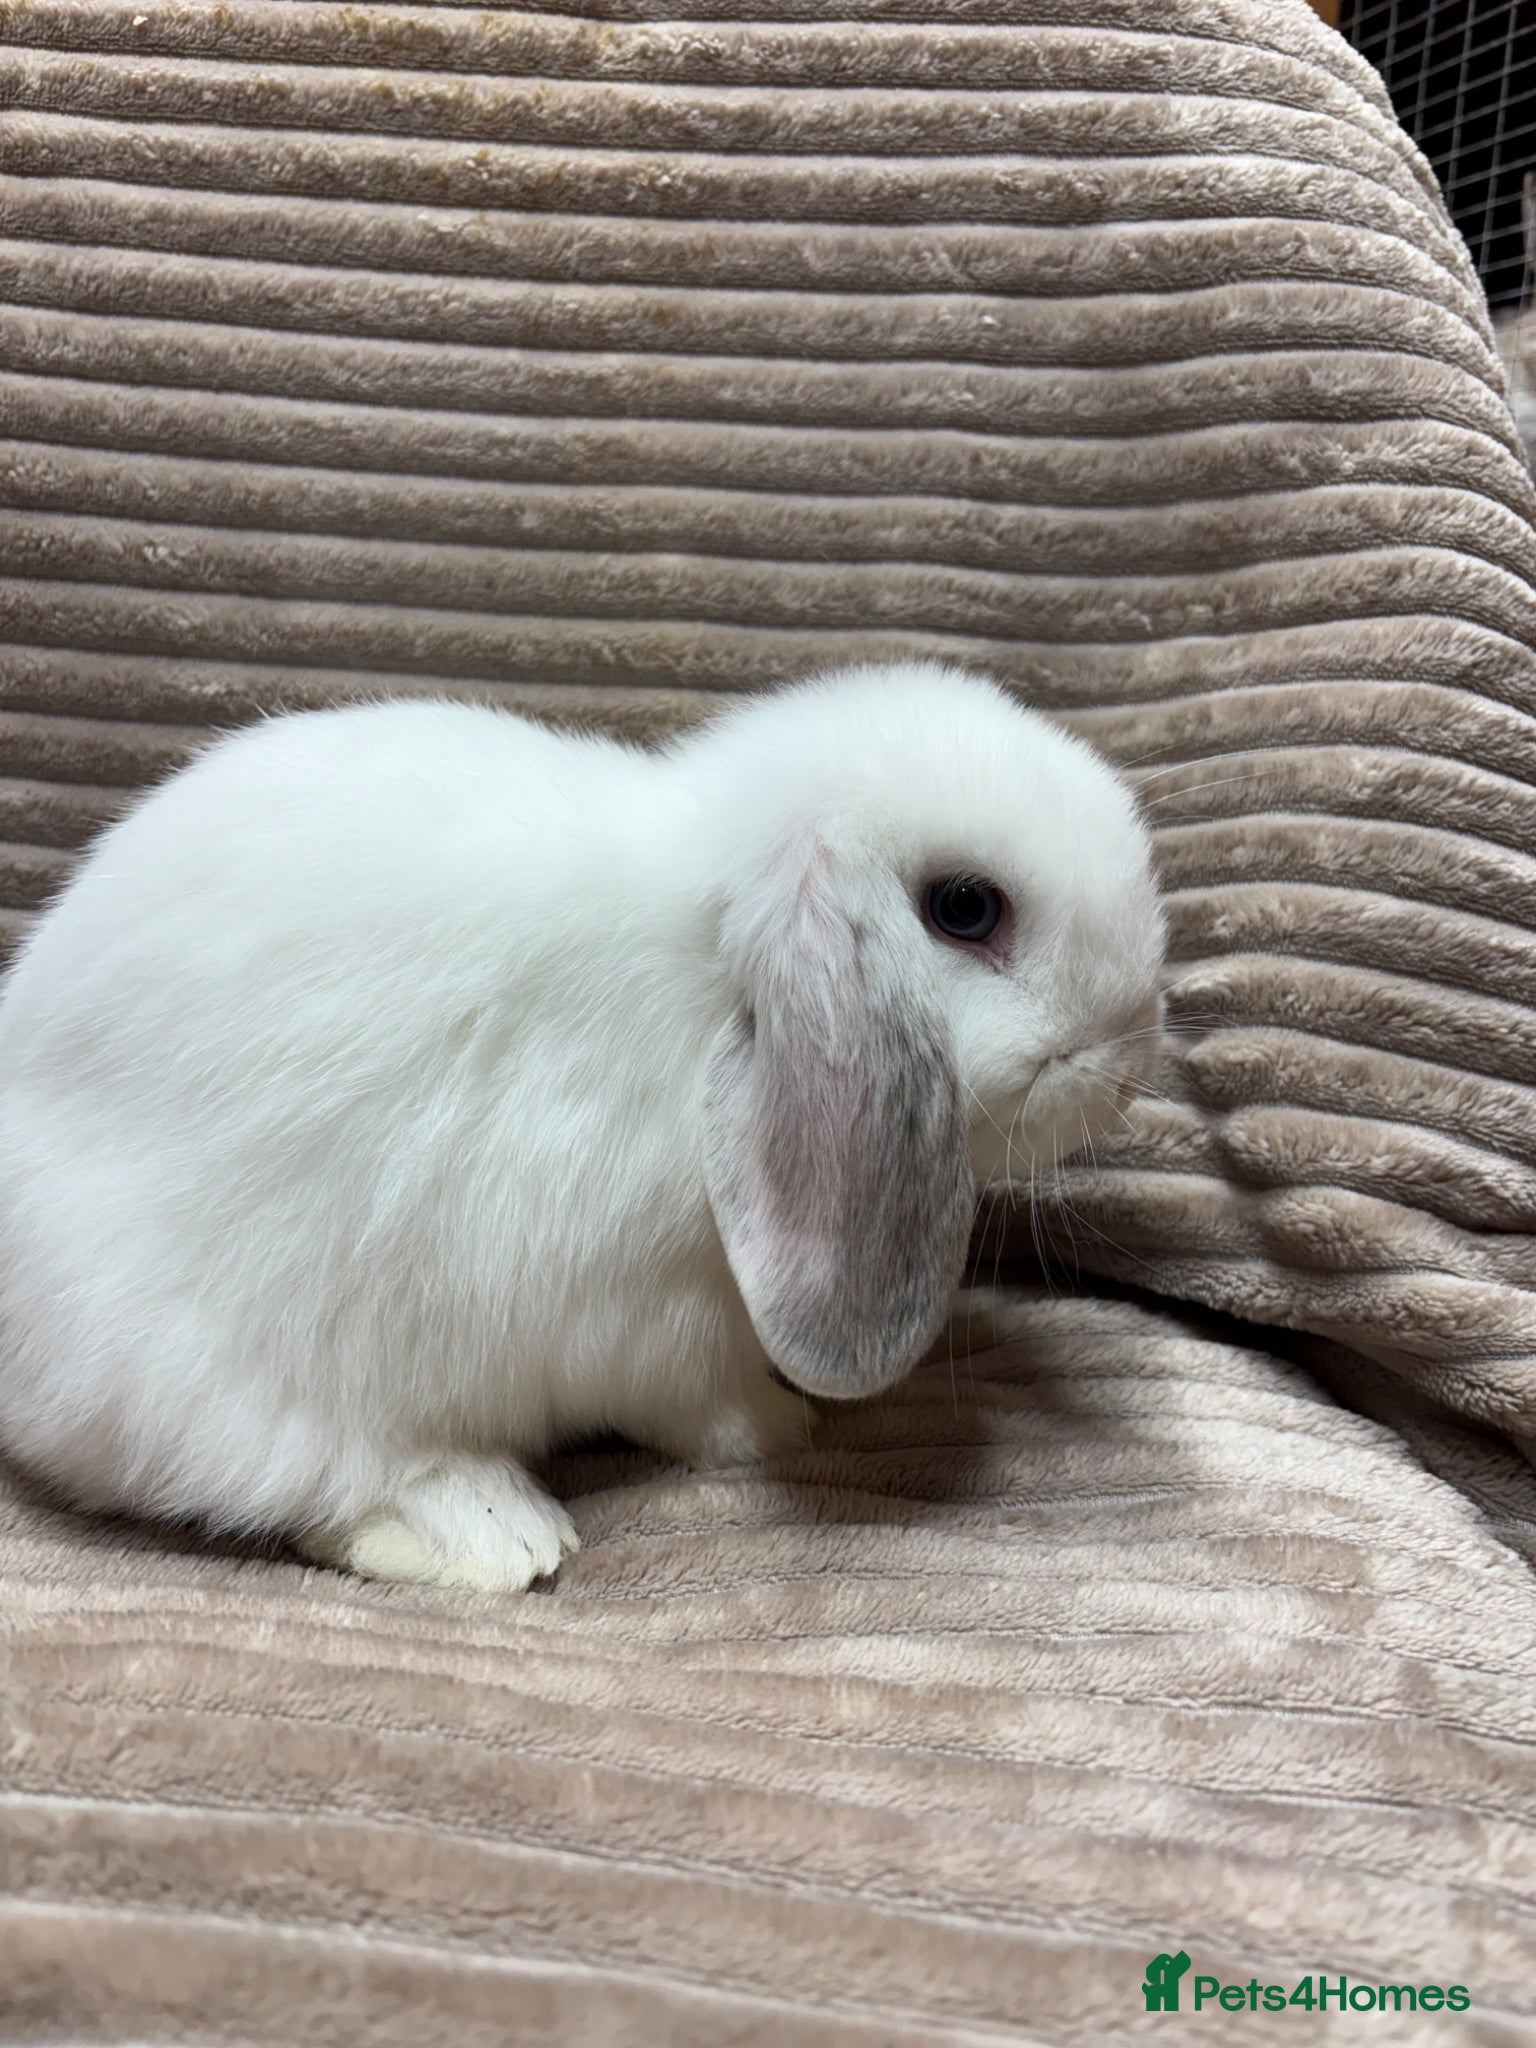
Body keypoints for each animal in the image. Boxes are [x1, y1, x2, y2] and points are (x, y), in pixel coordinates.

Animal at [0, 661, 1166, 1592]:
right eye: (965, 907)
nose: (1133, 1057)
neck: (708, 976)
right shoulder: (654, 1320)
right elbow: (700, 1403)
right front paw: (780, 1424)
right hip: (215, 1374)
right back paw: (495, 1533)